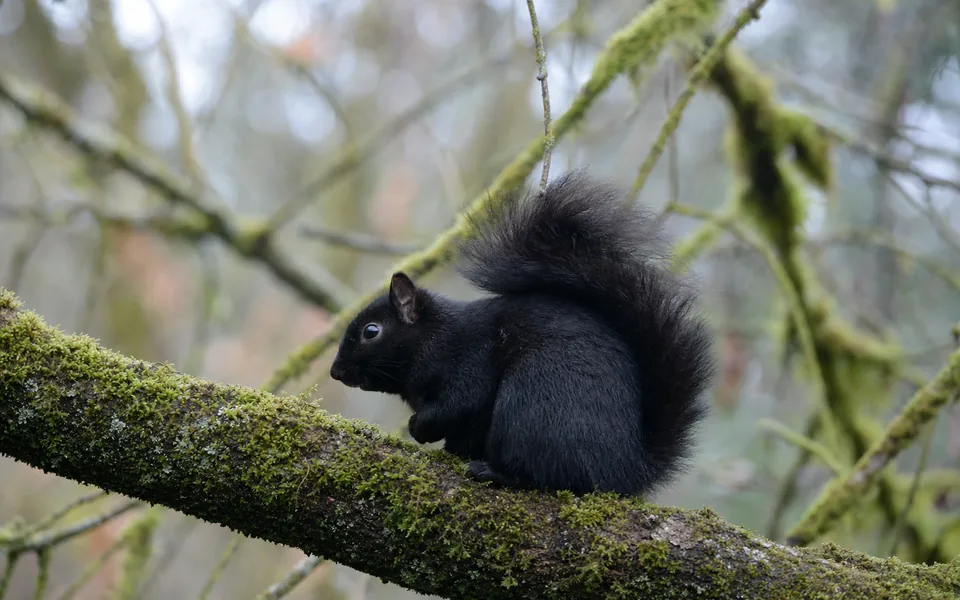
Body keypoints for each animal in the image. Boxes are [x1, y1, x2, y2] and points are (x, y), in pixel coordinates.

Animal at [329, 172, 714, 497]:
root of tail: (624, 470)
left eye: (371, 331)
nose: (336, 372)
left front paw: (419, 427)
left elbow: (460, 402)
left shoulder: (467, 360)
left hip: (531, 405)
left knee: (546, 476)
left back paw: (493, 472)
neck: (431, 337)